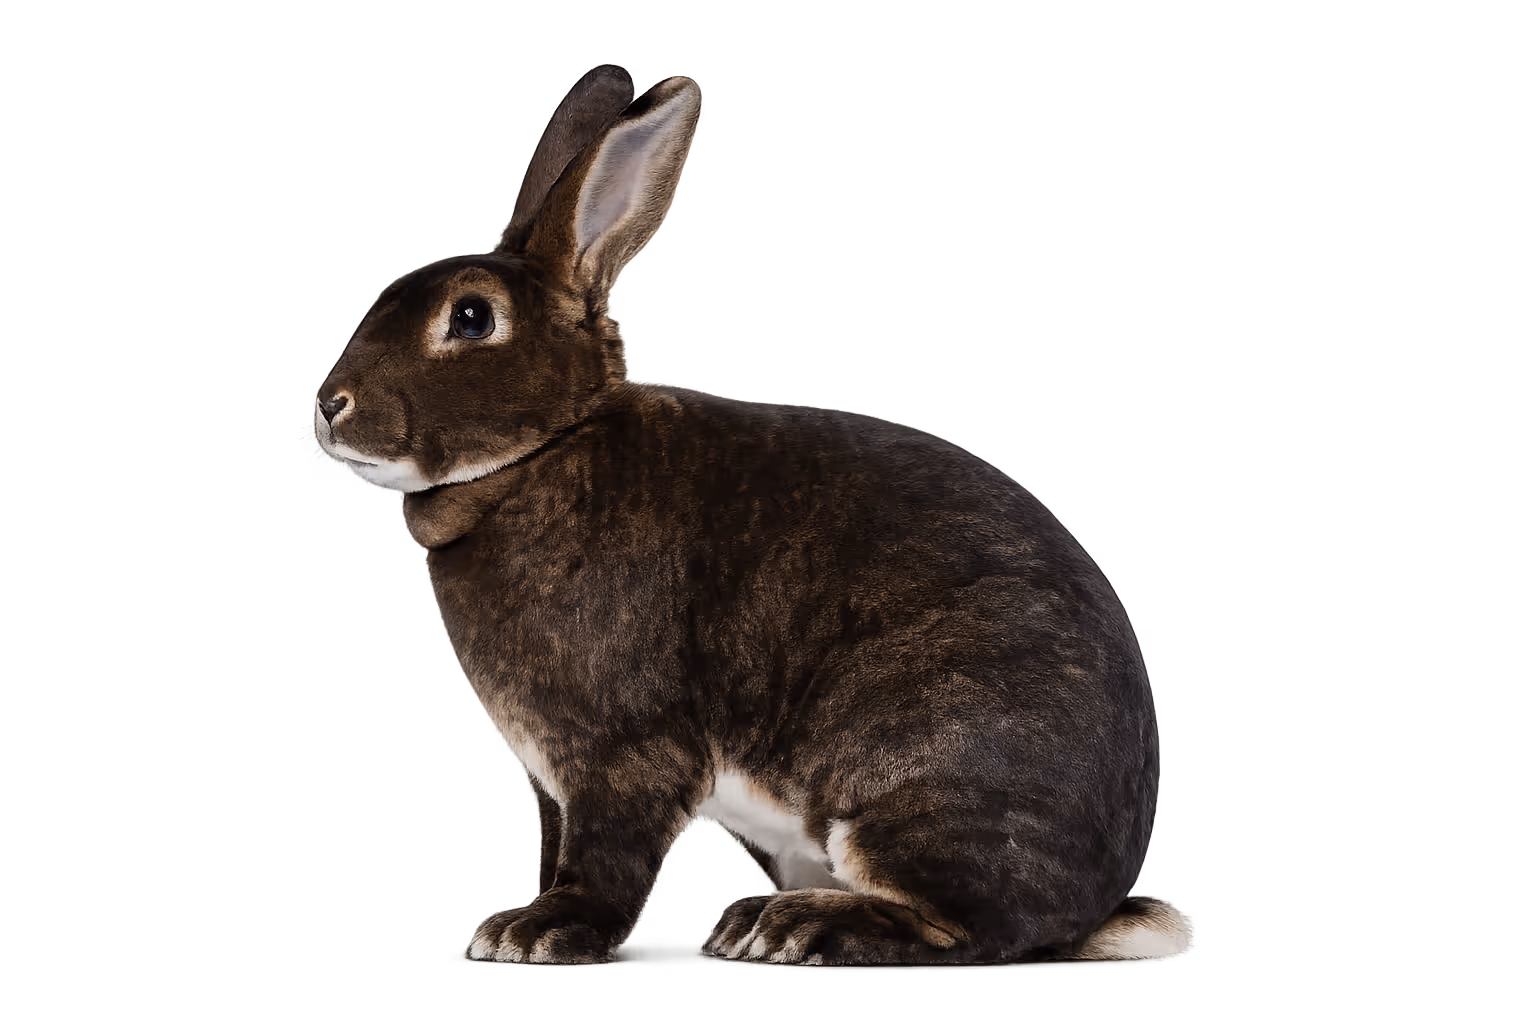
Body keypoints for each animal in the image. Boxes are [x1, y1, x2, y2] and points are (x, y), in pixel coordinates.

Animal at [315, 64, 1183, 965]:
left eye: (472, 317)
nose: (330, 405)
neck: (545, 451)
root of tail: (1094, 906)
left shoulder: (619, 753)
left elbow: (604, 854)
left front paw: (542, 931)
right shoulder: (547, 778)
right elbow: (555, 844)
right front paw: (519, 924)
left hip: (924, 775)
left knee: (969, 932)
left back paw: (800, 927)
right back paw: (750, 924)